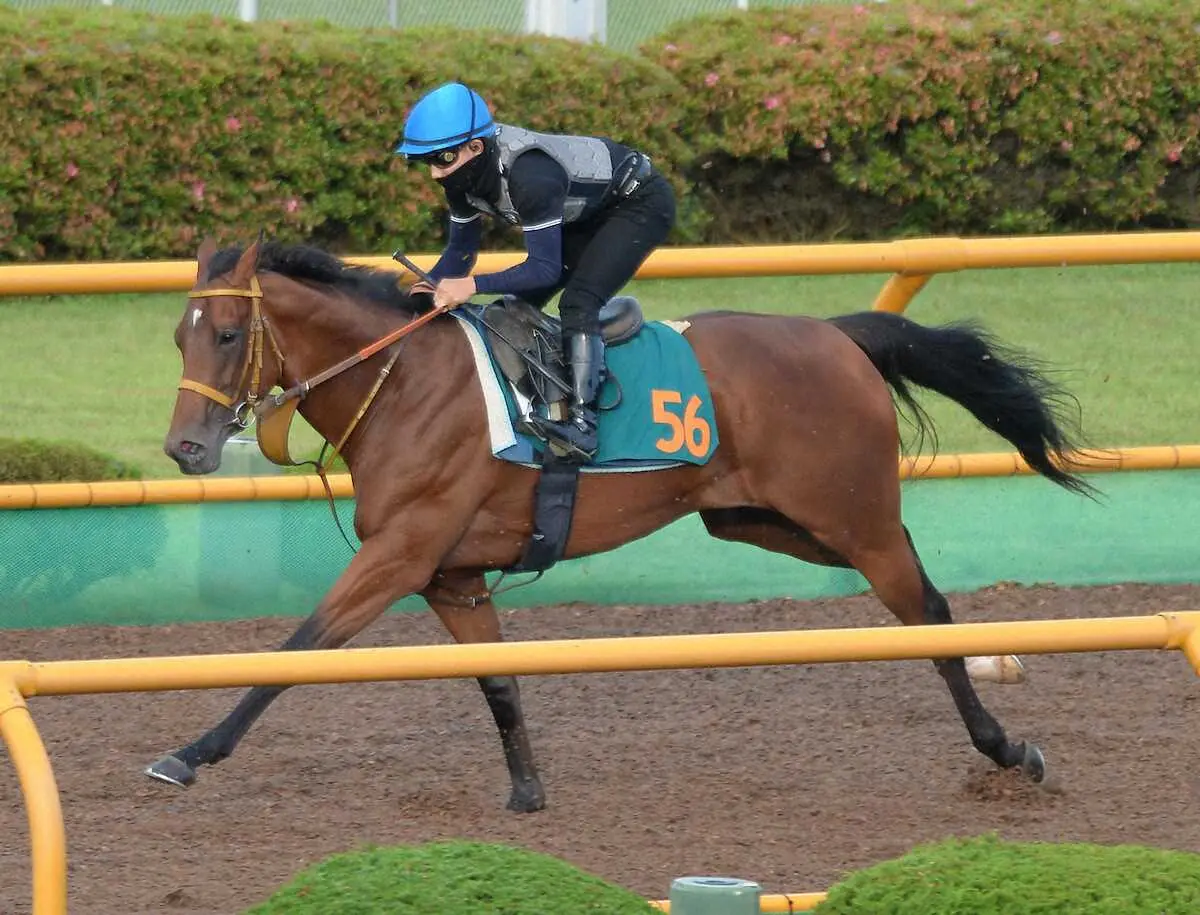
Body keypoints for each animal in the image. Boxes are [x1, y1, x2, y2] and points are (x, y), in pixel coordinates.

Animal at [152, 236, 1099, 811]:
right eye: (178, 336)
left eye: (229, 333)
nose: (185, 448)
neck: (403, 383)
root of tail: (837, 335)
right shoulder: (451, 575)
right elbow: (497, 680)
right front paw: (527, 790)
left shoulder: (400, 554)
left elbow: (296, 650)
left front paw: (190, 752)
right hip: (757, 518)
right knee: (908, 601)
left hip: (853, 516)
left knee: (929, 613)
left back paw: (1005, 746)